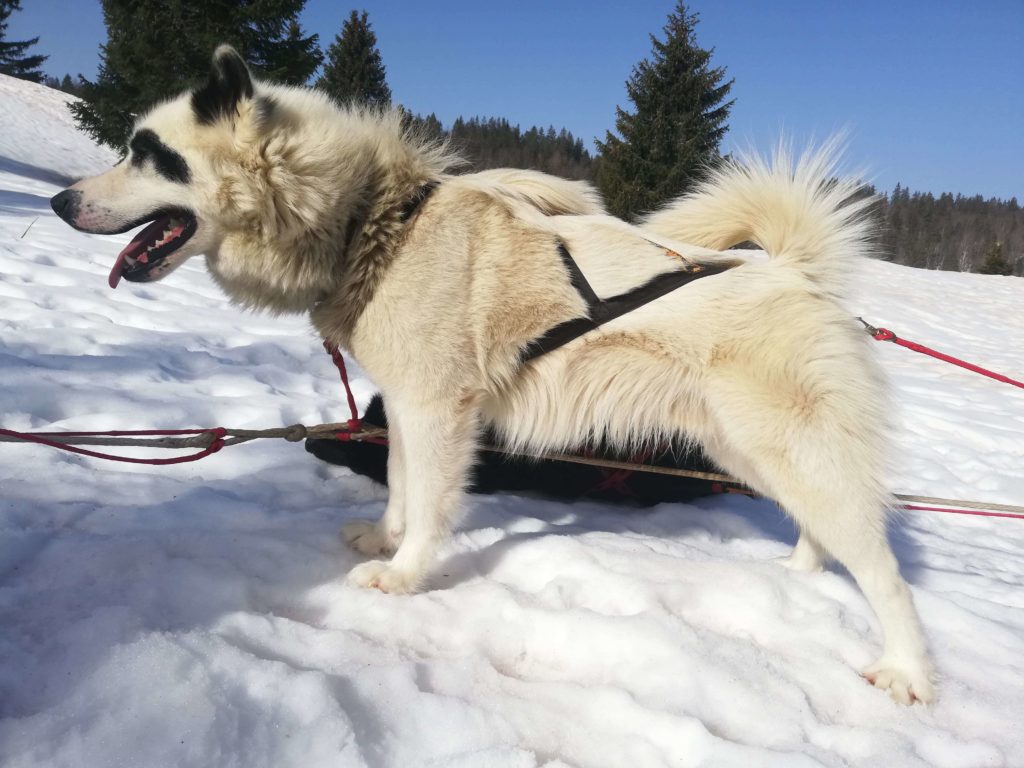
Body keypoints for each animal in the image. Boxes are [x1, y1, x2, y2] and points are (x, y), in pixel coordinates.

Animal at [49, 43, 937, 704]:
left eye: (150, 155)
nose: (60, 203)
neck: (373, 220)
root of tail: (797, 274)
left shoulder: (441, 410)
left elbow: (433, 506)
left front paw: (404, 575)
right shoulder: (406, 405)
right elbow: (401, 484)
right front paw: (385, 537)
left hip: (795, 454)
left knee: (883, 571)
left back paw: (906, 672)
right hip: (745, 451)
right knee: (819, 534)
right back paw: (797, 580)